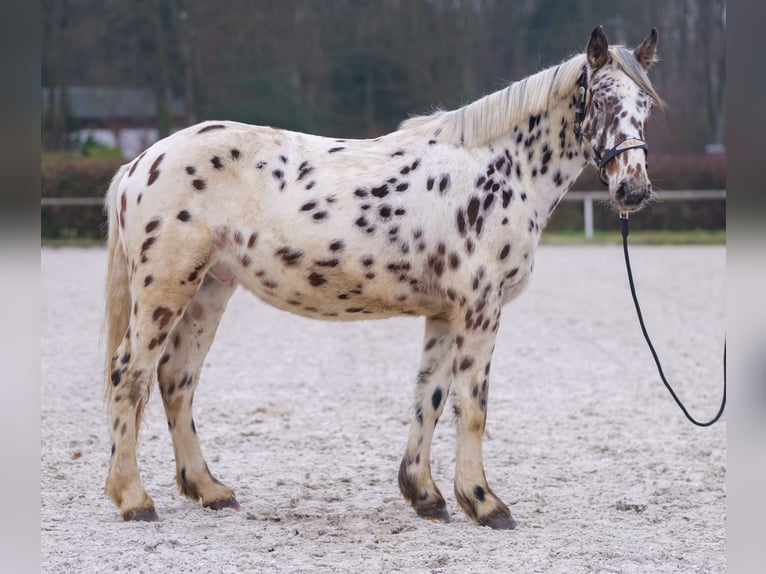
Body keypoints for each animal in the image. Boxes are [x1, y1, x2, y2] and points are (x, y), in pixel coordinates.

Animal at [103, 27, 664, 532]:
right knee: (129, 375)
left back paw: (209, 489)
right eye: (603, 101)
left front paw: (426, 495)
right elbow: (472, 406)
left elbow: (429, 398)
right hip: (165, 289)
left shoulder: (446, 314)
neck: (499, 170)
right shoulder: (480, 309)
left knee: (177, 378)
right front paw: (485, 503)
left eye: (646, 106)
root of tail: (140, 163)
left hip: (210, 288)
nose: (633, 190)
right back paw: (133, 499)